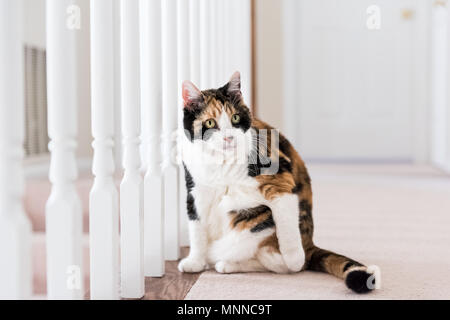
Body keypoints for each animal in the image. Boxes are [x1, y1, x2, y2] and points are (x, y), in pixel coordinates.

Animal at [178, 72, 378, 292]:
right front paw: (195, 262)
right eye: (210, 123)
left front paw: (294, 258)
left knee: (275, 264)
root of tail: (310, 244)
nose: (229, 138)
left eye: (235, 118)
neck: (221, 163)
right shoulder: (196, 191)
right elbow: (196, 228)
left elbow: (287, 226)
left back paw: (230, 264)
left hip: (260, 226)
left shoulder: (281, 181)